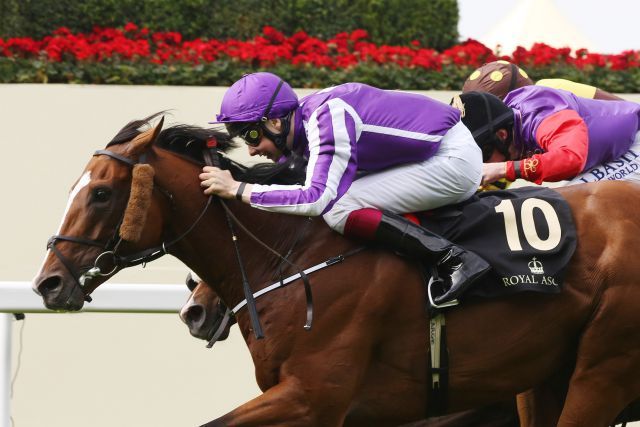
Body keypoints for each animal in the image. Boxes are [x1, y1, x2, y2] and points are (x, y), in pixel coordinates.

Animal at [31, 115, 640, 426]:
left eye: (102, 193)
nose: (48, 283)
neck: (291, 254)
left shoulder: (315, 396)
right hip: (544, 376)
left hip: (603, 369)